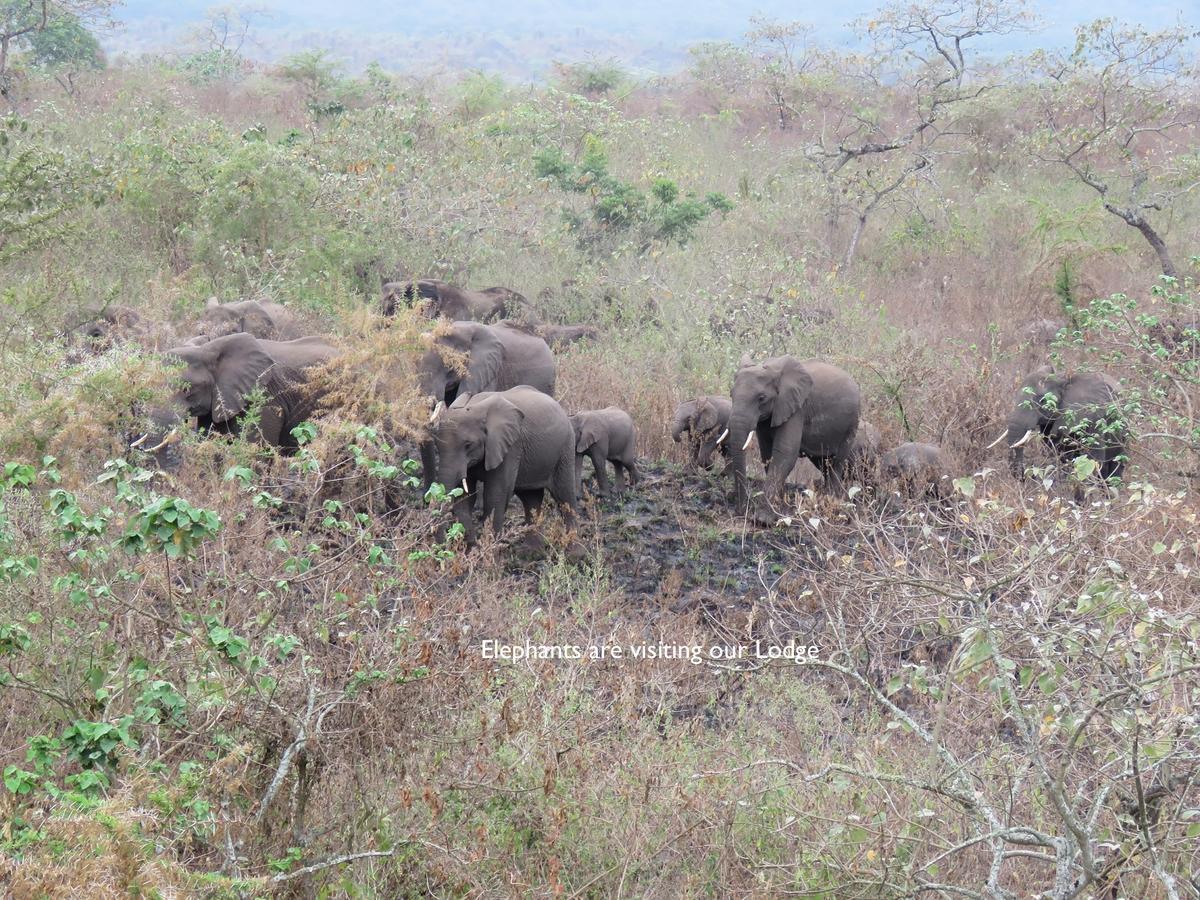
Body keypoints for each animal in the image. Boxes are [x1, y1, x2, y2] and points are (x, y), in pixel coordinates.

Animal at [724, 355, 859, 518]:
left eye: (761, 398)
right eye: (731, 394)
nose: (741, 511)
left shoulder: (796, 409)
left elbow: (785, 452)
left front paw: (763, 519)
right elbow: (767, 454)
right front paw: (780, 507)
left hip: (851, 424)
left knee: (836, 462)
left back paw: (831, 503)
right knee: (823, 463)